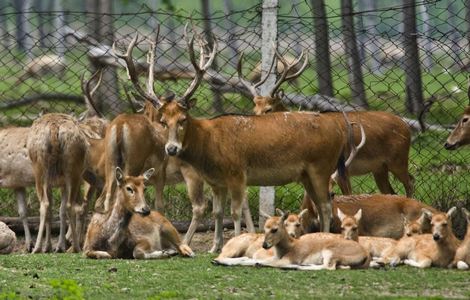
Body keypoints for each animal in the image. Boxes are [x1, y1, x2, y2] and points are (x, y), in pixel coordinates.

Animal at [241, 47, 414, 197]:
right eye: (254, 109)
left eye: (268, 109)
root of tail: (406, 125)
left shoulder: (341, 167)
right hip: (379, 168)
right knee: (391, 192)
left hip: (398, 159)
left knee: (410, 182)